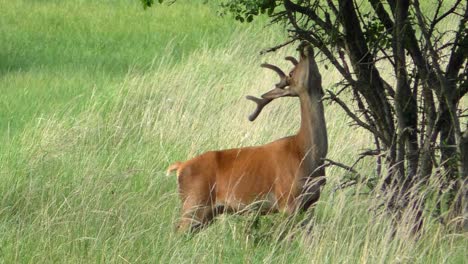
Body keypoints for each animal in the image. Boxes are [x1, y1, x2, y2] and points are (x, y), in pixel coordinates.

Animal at [166, 44, 328, 232]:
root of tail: (180, 167)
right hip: (193, 203)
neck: (306, 153)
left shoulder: (311, 202)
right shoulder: (288, 201)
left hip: (207, 213)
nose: (305, 47)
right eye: (291, 72)